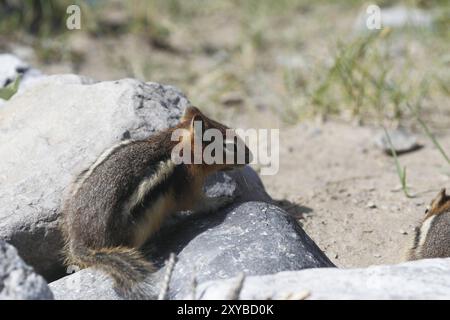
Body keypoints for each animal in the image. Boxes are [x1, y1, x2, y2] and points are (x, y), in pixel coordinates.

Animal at [60, 106, 251, 298]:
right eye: (230, 146)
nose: (250, 157)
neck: (179, 146)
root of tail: (78, 240)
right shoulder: (186, 184)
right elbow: (197, 203)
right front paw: (220, 200)